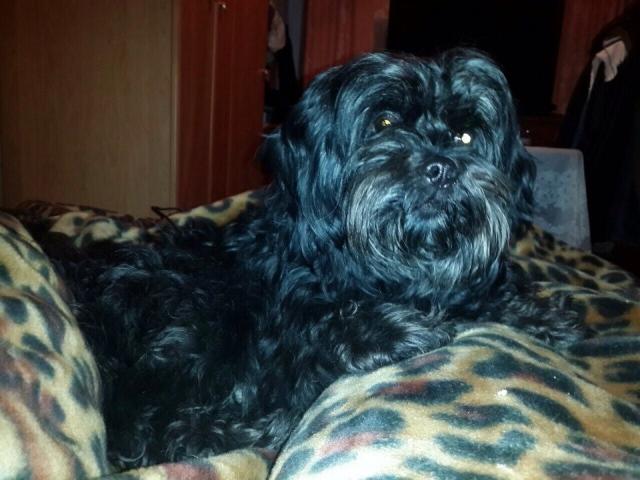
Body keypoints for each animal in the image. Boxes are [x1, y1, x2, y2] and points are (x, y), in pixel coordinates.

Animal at [37, 49, 583, 469]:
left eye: (467, 136)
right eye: (385, 122)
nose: (442, 167)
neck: (393, 269)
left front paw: (539, 314)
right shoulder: (280, 341)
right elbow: (319, 335)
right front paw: (392, 329)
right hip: (179, 310)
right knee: (157, 430)